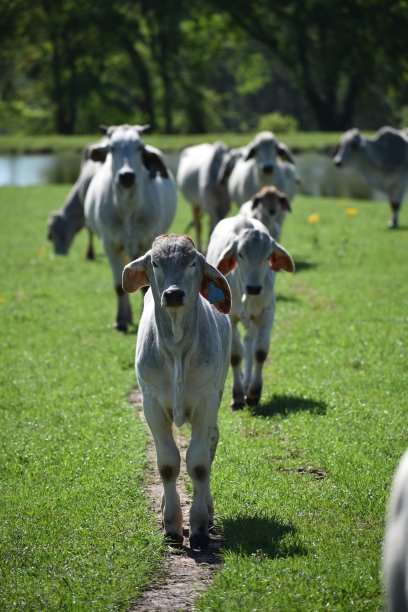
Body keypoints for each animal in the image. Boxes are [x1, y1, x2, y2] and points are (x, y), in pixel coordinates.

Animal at [85, 124, 176, 332]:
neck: (127, 207)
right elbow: (119, 286)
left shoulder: (147, 244)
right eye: (111, 148)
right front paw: (120, 320)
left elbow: (146, 288)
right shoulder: (109, 245)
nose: (126, 176)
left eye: (139, 148)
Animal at [122, 233, 233, 548]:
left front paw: (198, 527)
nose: (173, 294)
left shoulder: (207, 401)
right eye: (155, 262)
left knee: (211, 443)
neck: (176, 349)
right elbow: (168, 464)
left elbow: (199, 464)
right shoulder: (151, 403)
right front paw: (171, 525)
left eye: (192, 262)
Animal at [206, 215, 294, 412]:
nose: (254, 288)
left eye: (268, 255)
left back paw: (247, 382)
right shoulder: (230, 318)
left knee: (249, 342)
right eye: (240, 254)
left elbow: (260, 351)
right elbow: (235, 355)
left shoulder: (267, 311)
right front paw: (238, 396)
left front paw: (253, 393)